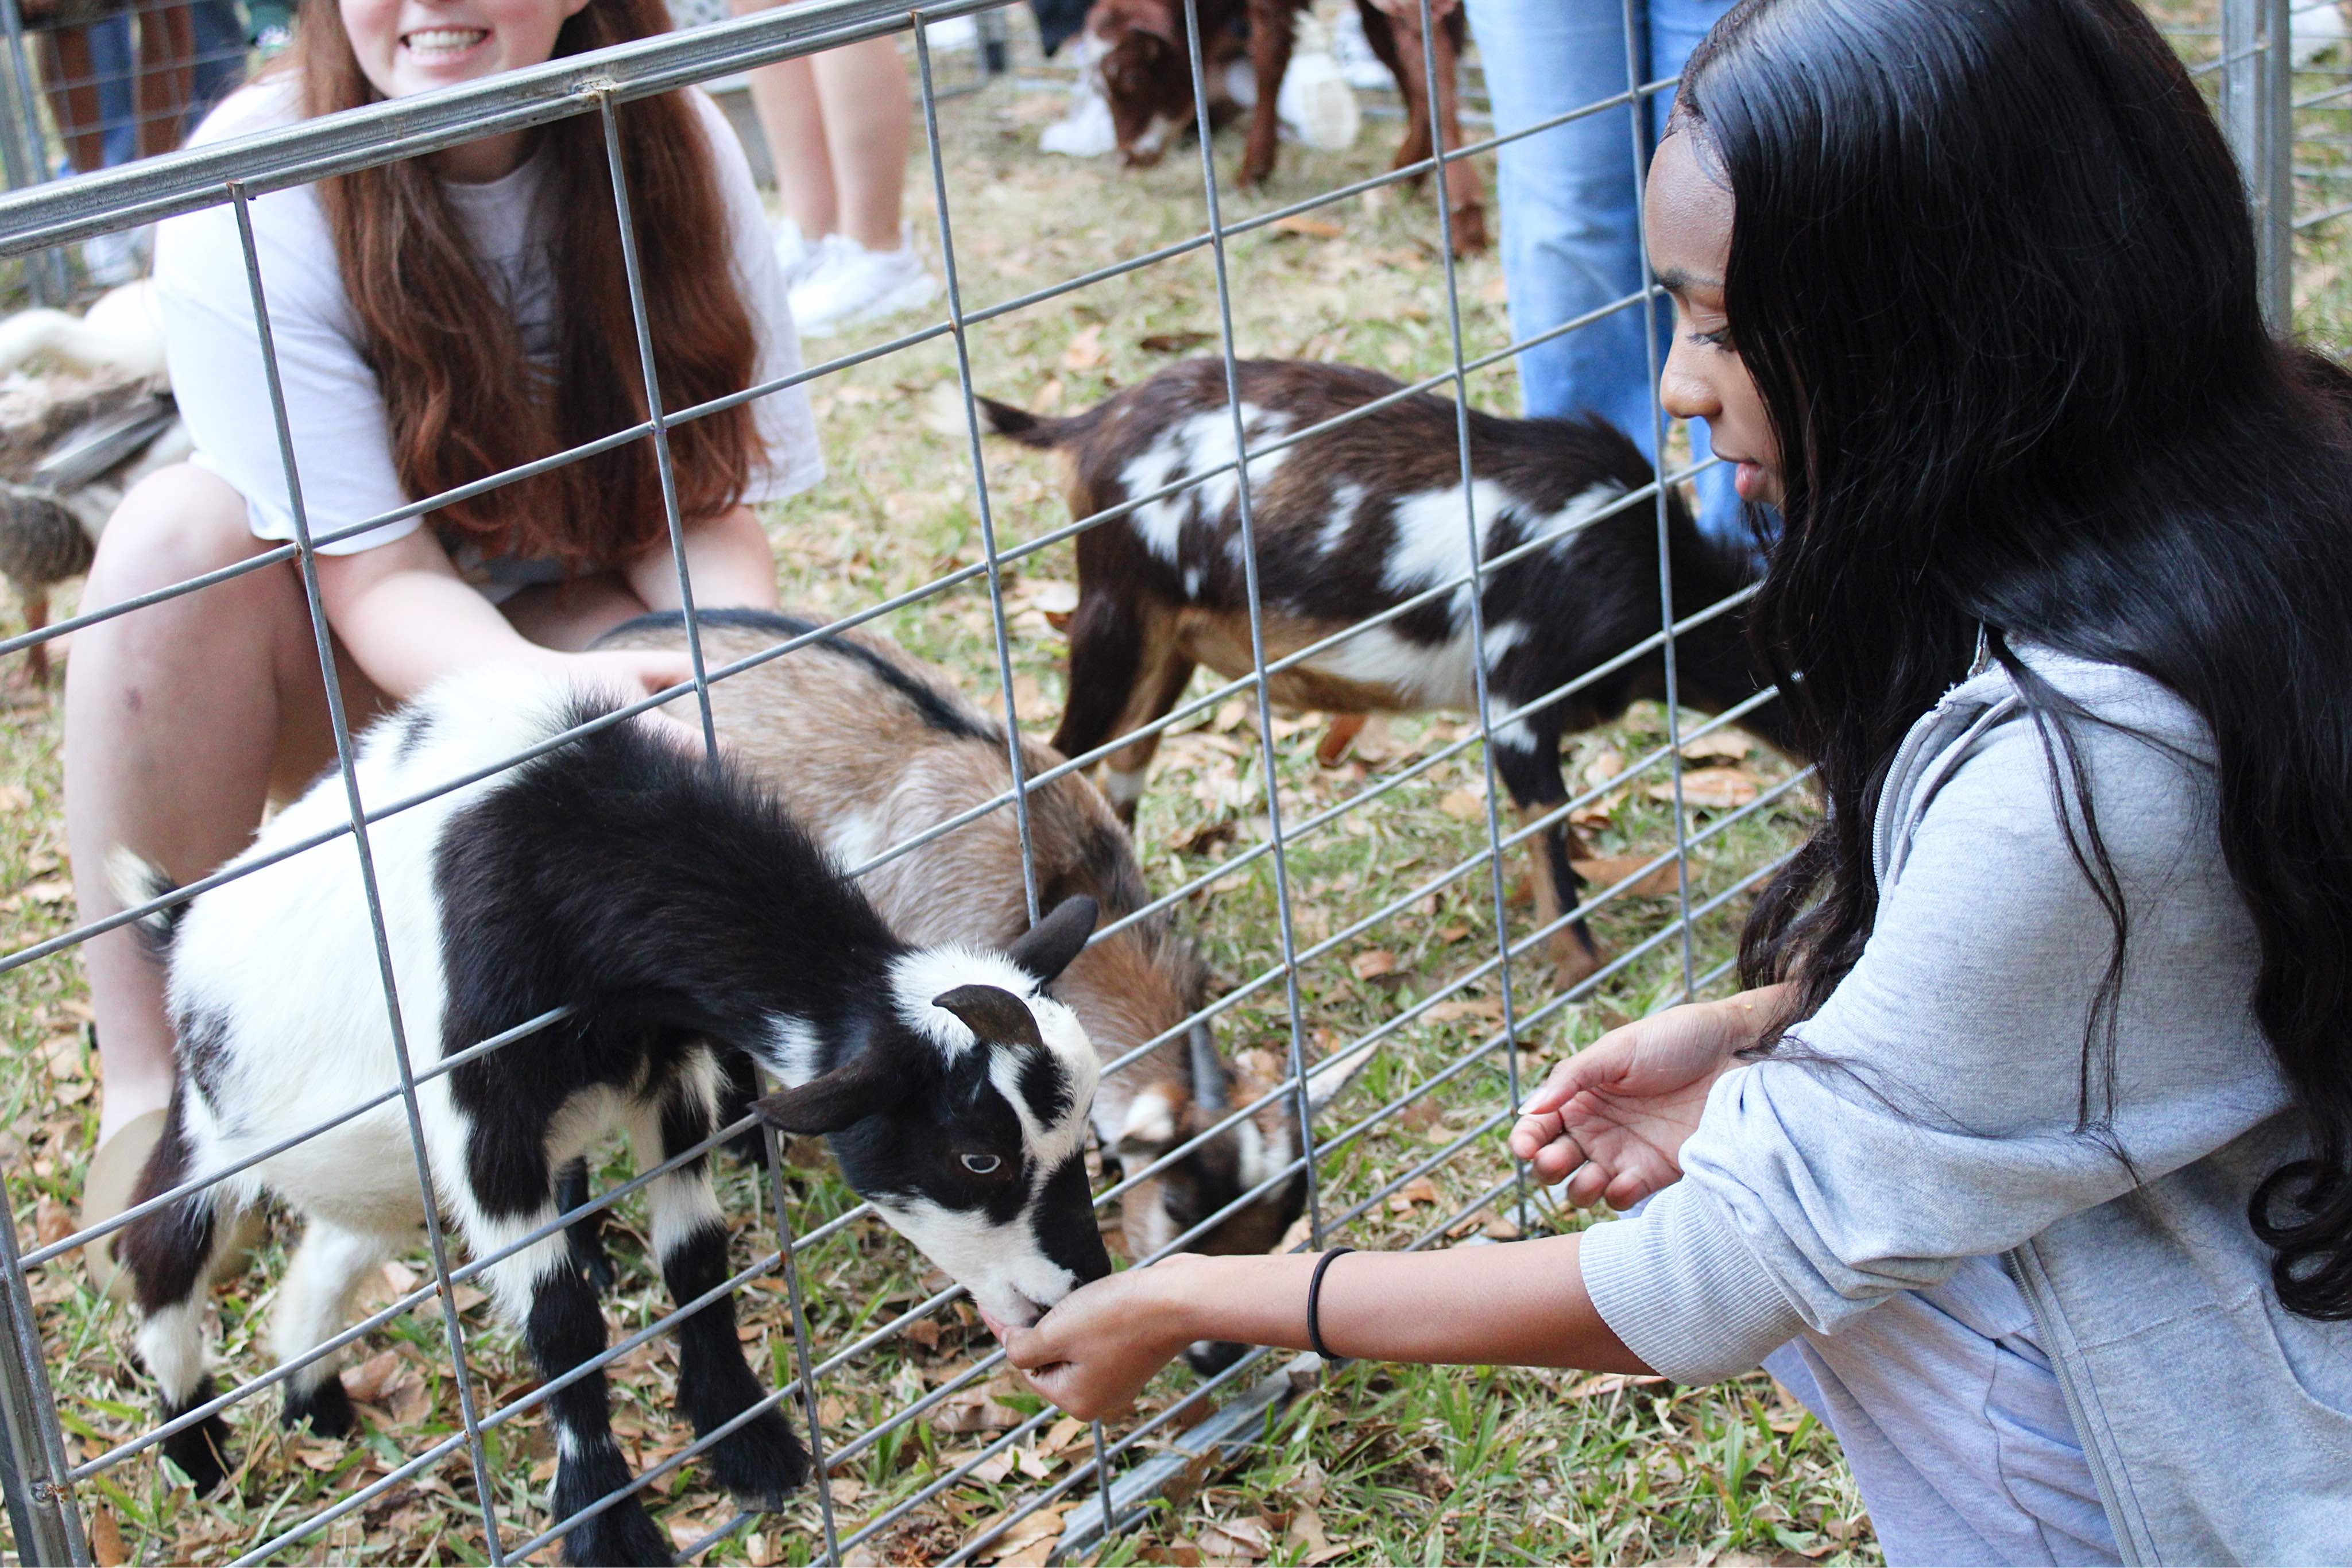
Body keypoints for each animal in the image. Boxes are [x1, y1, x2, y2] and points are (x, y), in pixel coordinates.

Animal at [124, 667, 1115, 1561]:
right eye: (979, 1155)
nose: (1080, 1286)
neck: (551, 832)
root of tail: (182, 928)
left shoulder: (667, 1073)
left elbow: (696, 1258)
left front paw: (746, 1440)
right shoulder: (485, 1125)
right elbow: (562, 1322)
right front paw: (608, 1523)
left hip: (375, 1172)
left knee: (332, 1249)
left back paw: (313, 1400)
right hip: (207, 1134)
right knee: (160, 1251)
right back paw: (193, 1447)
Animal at [983, 362, 1787, 987]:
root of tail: (1090, 424)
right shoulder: (1516, 690)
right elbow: (1546, 815)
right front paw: (1581, 967)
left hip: (1166, 646)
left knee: (1125, 767)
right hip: (1116, 611)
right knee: (1059, 756)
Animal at [1086, 0, 1486, 253]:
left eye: (1133, 77)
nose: (1127, 156)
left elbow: (1269, 55)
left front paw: (1253, 171)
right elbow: (1401, 59)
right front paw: (1411, 169)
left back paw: (1465, 219)